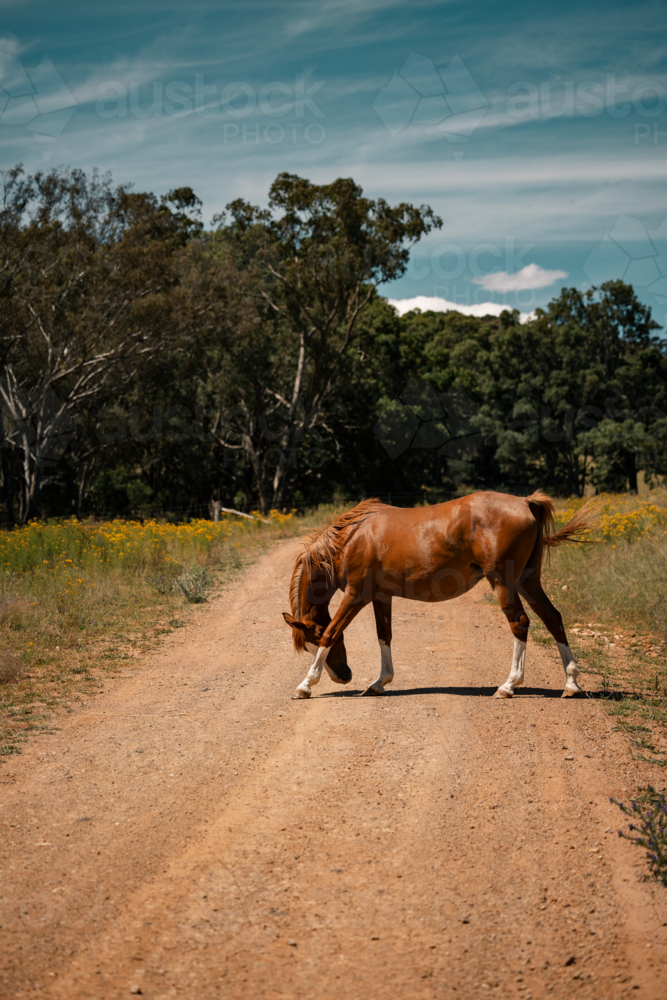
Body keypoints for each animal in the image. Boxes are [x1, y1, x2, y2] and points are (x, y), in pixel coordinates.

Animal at [282, 491, 596, 700]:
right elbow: (384, 636)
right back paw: (571, 683)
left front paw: (305, 685)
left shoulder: (356, 596)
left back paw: (508, 686)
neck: (352, 537)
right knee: (552, 618)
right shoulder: (381, 597)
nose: (344, 676)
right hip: (528, 581)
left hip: (503, 582)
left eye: (310, 643)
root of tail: (525, 502)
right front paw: (380, 682)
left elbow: (332, 632)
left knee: (520, 622)